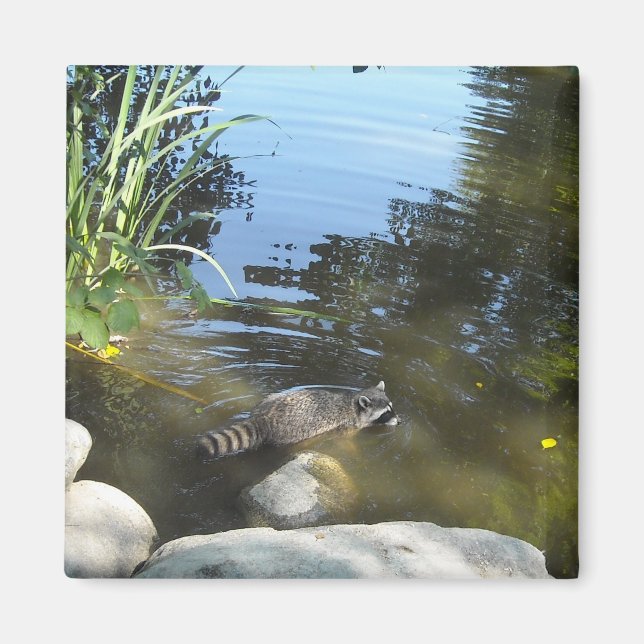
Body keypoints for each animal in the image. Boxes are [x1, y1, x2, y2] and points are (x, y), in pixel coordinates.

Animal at [196, 380, 399, 459]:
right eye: (386, 413)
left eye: (392, 407)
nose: (400, 422)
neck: (354, 405)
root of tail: (262, 417)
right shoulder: (347, 426)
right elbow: (344, 442)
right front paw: (354, 451)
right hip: (291, 432)